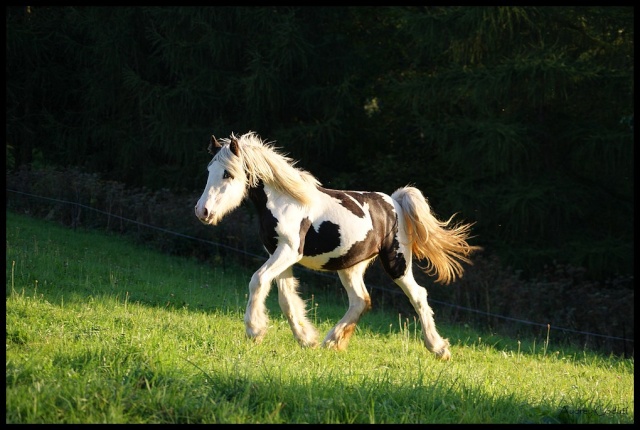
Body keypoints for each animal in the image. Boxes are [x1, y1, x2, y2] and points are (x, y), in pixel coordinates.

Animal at [195, 131, 480, 360]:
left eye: (228, 174)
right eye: (208, 171)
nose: (202, 212)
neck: (286, 201)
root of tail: (395, 202)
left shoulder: (289, 250)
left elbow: (258, 280)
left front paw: (254, 329)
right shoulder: (278, 253)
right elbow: (286, 297)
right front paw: (306, 338)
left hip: (397, 262)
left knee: (418, 295)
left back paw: (438, 349)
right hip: (350, 266)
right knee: (360, 300)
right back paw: (331, 342)